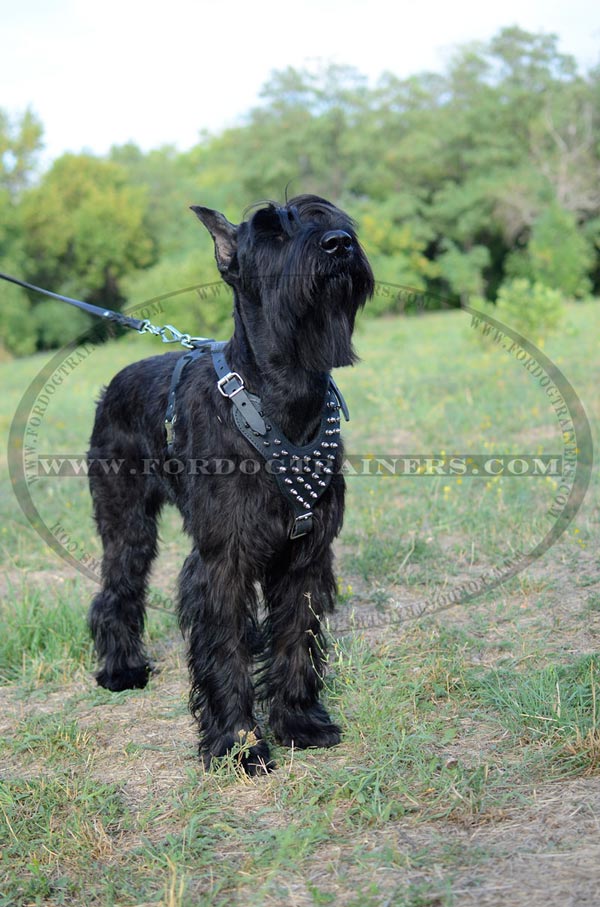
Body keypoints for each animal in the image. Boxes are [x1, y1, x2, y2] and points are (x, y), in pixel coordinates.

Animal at [87, 193, 372, 772]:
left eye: (333, 219)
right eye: (269, 232)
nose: (339, 245)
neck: (281, 395)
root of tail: (115, 381)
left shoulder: (306, 556)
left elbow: (295, 637)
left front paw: (298, 722)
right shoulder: (224, 559)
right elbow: (225, 650)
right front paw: (240, 744)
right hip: (127, 523)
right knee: (117, 590)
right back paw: (121, 670)